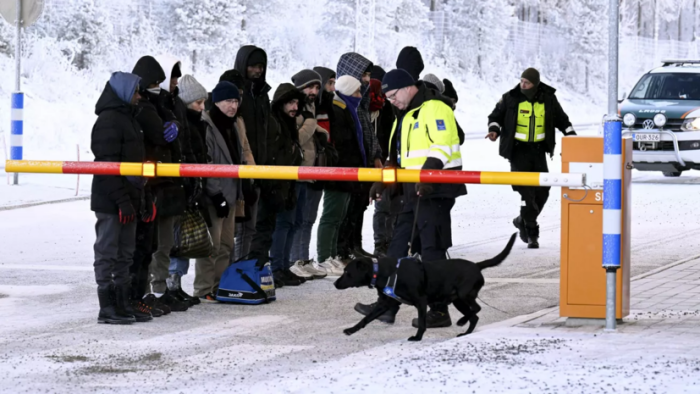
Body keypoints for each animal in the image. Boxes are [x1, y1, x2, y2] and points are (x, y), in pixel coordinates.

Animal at [336, 232, 516, 340]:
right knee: (475, 316)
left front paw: (417, 337)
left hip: (464, 295)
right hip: (458, 301)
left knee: (477, 309)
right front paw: (351, 329)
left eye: (347, 273)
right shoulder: (386, 303)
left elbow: (422, 322)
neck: (383, 271)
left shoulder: (421, 301)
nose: (335, 283)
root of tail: (477, 266)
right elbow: (366, 318)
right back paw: (465, 331)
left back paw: (462, 322)